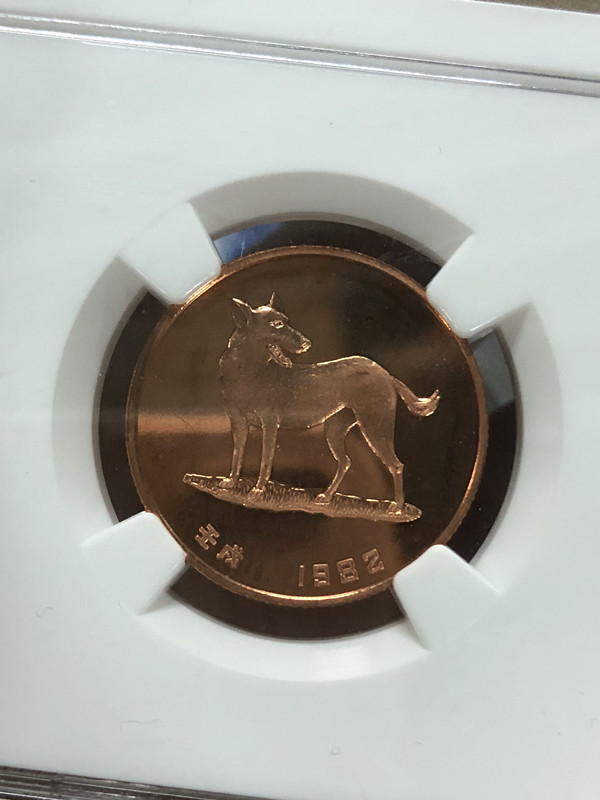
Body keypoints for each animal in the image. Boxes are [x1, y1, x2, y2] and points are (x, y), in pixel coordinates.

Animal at [219, 293, 440, 511]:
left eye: (287, 321)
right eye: (276, 324)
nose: (307, 343)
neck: (246, 372)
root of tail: (387, 375)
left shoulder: (270, 424)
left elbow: (265, 461)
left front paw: (258, 490)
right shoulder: (238, 424)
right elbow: (237, 455)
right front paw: (231, 482)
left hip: (375, 429)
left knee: (396, 465)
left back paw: (398, 507)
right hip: (335, 430)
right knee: (345, 462)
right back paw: (326, 496)